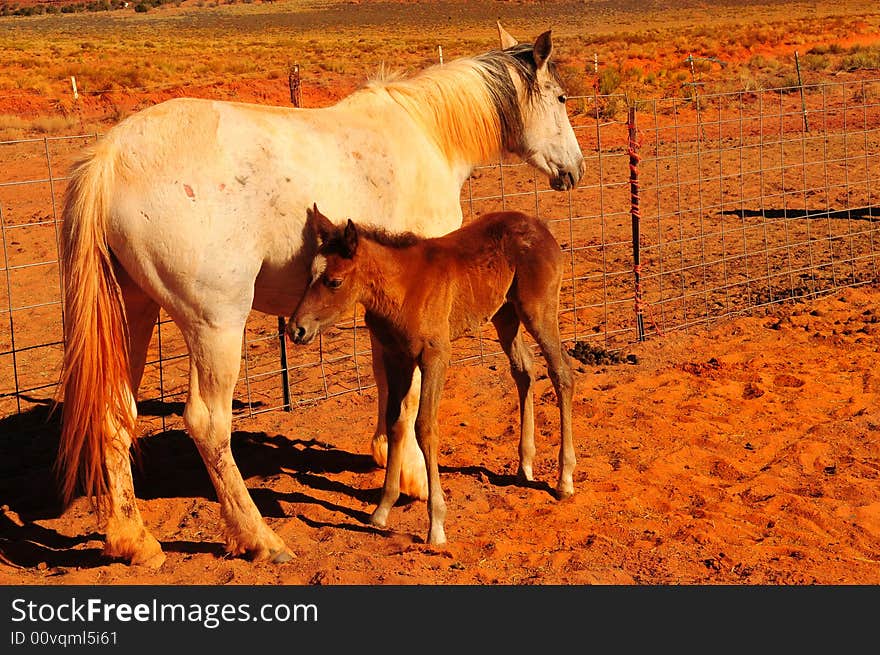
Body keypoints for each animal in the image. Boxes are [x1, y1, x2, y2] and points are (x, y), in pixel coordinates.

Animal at [288, 206, 576, 548]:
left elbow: (424, 426)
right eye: (308, 276)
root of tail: (539, 226)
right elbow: (395, 422)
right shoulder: (396, 357)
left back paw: (564, 480)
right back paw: (525, 464)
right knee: (524, 369)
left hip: (538, 310)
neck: (403, 289)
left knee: (562, 372)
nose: (296, 329)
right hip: (505, 314)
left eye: (334, 281)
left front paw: (436, 524)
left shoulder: (435, 356)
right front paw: (382, 509)